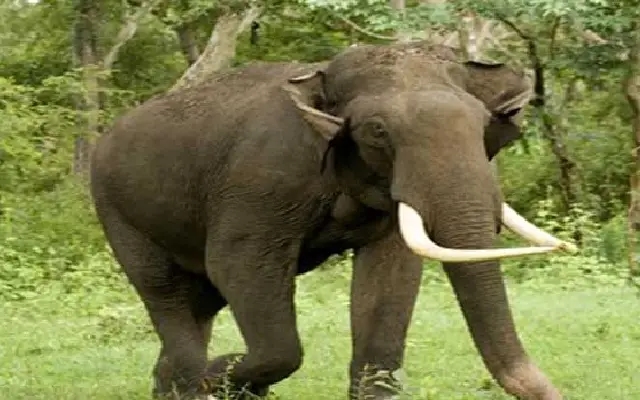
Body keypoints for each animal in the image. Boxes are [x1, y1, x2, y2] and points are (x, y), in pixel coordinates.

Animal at [89, 41, 576, 400]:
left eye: (481, 125)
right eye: (378, 131)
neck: (320, 77)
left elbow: (390, 276)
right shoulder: (260, 179)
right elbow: (237, 266)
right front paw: (221, 374)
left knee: (199, 302)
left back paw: (173, 383)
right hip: (117, 211)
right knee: (165, 291)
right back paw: (195, 378)